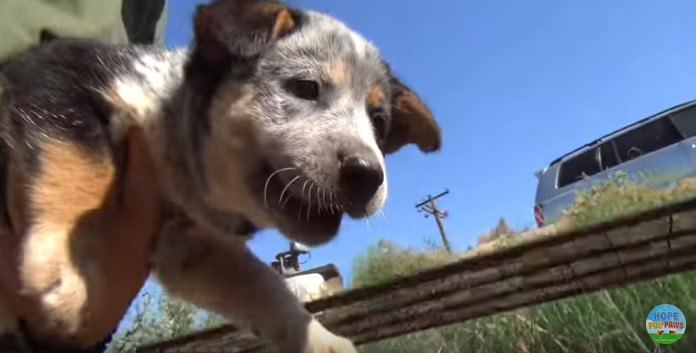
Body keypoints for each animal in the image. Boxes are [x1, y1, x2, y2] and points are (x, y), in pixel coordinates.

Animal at [0, 0, 444, 352]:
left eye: (379, 122)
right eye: (305, 87)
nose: (368, 175)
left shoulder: (191, 247)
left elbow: (265, 286)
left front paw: (320, 341)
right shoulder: (58, 72)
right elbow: (77, 160)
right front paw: (57, 266)